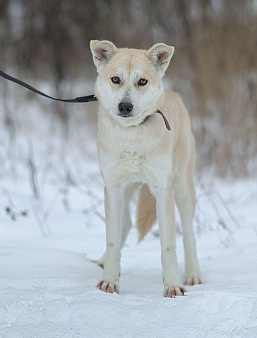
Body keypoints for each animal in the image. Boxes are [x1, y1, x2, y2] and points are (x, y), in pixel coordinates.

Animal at [89, 39, 200, 298]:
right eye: (115, 79)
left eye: (142, 81)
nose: (125, 106)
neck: (132, 136)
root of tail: (175, 95)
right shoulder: (113, 188)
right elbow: (112, 240)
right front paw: (109, 281)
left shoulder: (163, 190)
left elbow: (169, 245)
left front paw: (172, 286)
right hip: (127, 190)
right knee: (125, 225)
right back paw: (103, 262)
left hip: (182, 188)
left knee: (189, 234)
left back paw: (192, 274)